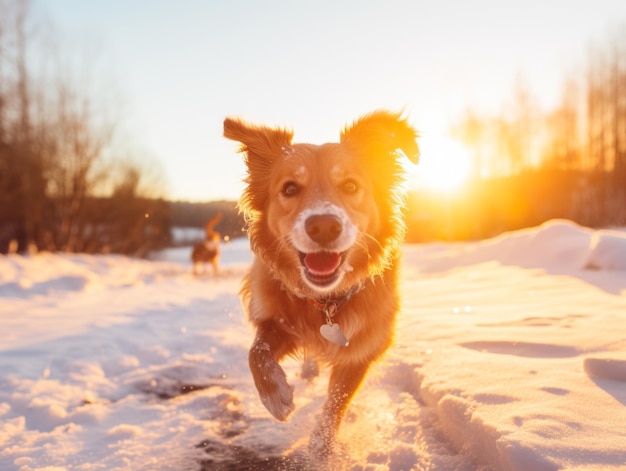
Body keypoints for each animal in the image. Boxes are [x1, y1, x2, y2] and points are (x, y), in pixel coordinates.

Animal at [222, 110, 416, 458]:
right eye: (289, 188)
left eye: (350, 185)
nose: (324, 225)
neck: (326, 301)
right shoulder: (275, 318)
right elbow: (257, 352)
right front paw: (275, 395)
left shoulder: (364, 349)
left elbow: (336, 402)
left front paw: (321, 449)